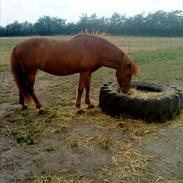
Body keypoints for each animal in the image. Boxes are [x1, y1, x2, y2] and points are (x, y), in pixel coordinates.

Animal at [10, 33, 138, 112]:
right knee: (29, 88)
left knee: (21, 87)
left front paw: (89, 104)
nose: (126, 91)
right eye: (128, 74)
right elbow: (80, 89)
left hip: (25, 72)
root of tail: (17, 46)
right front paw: (79, 107)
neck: (95, 49)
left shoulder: (88, 73)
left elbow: (88, 87)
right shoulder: (83, 72)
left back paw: (23, 105)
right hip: (31, 71)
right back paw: (40, 107)